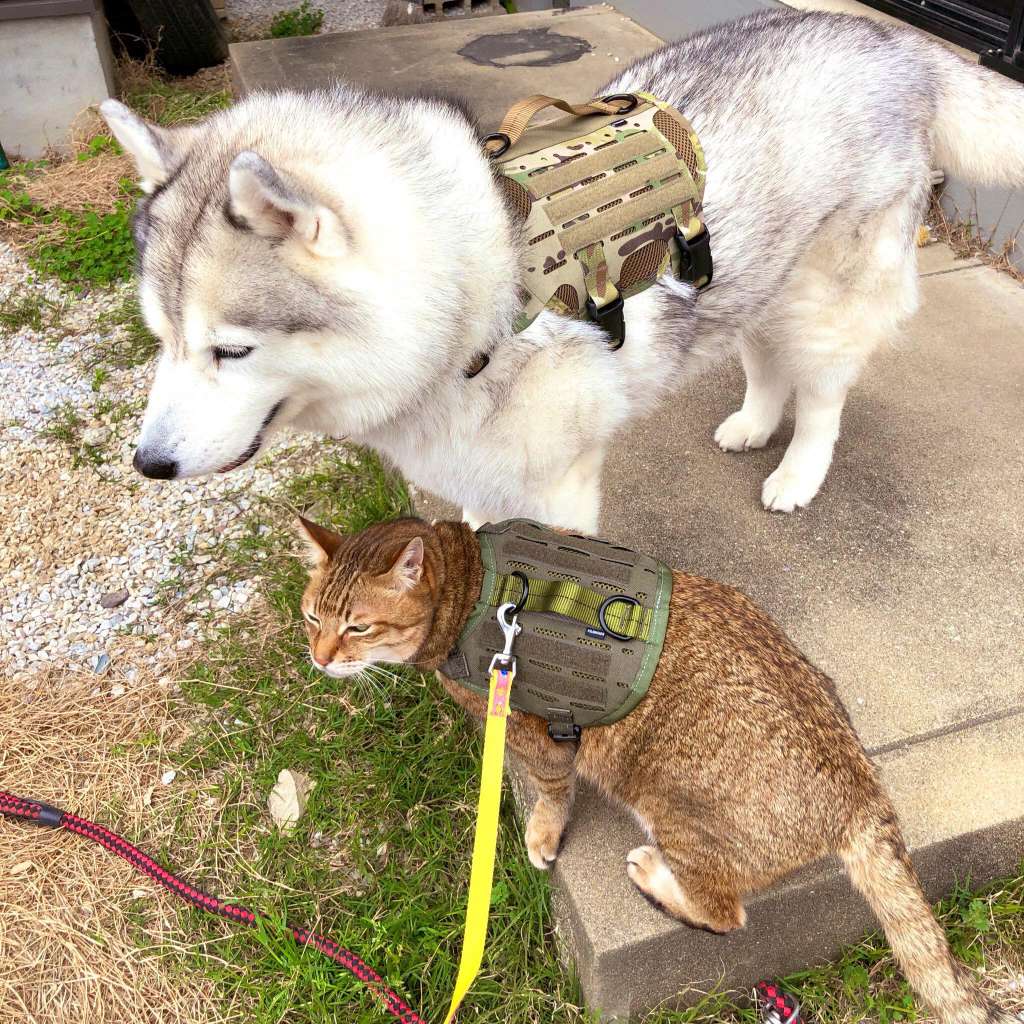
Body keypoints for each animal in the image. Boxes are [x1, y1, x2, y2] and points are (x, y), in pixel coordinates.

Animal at [101, 12, 1024, 532]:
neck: (484, 296)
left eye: (231, 351)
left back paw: (797, 472)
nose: (148, 466)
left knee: (825, 396)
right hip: (757, 281)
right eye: (160, 342)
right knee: (765, 362)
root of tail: (894, 40)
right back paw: (754, 424)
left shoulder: (560, 488)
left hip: (826, 298)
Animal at [294, 516, 1015, 1024]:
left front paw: (543, 832)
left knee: (723, 912)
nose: (320, 657)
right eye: (311, 617)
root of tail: (862, 790)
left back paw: (654, 874)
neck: (471, 586)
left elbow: (551, 791)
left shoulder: (540, 736)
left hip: (674, 808)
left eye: (357, 627)